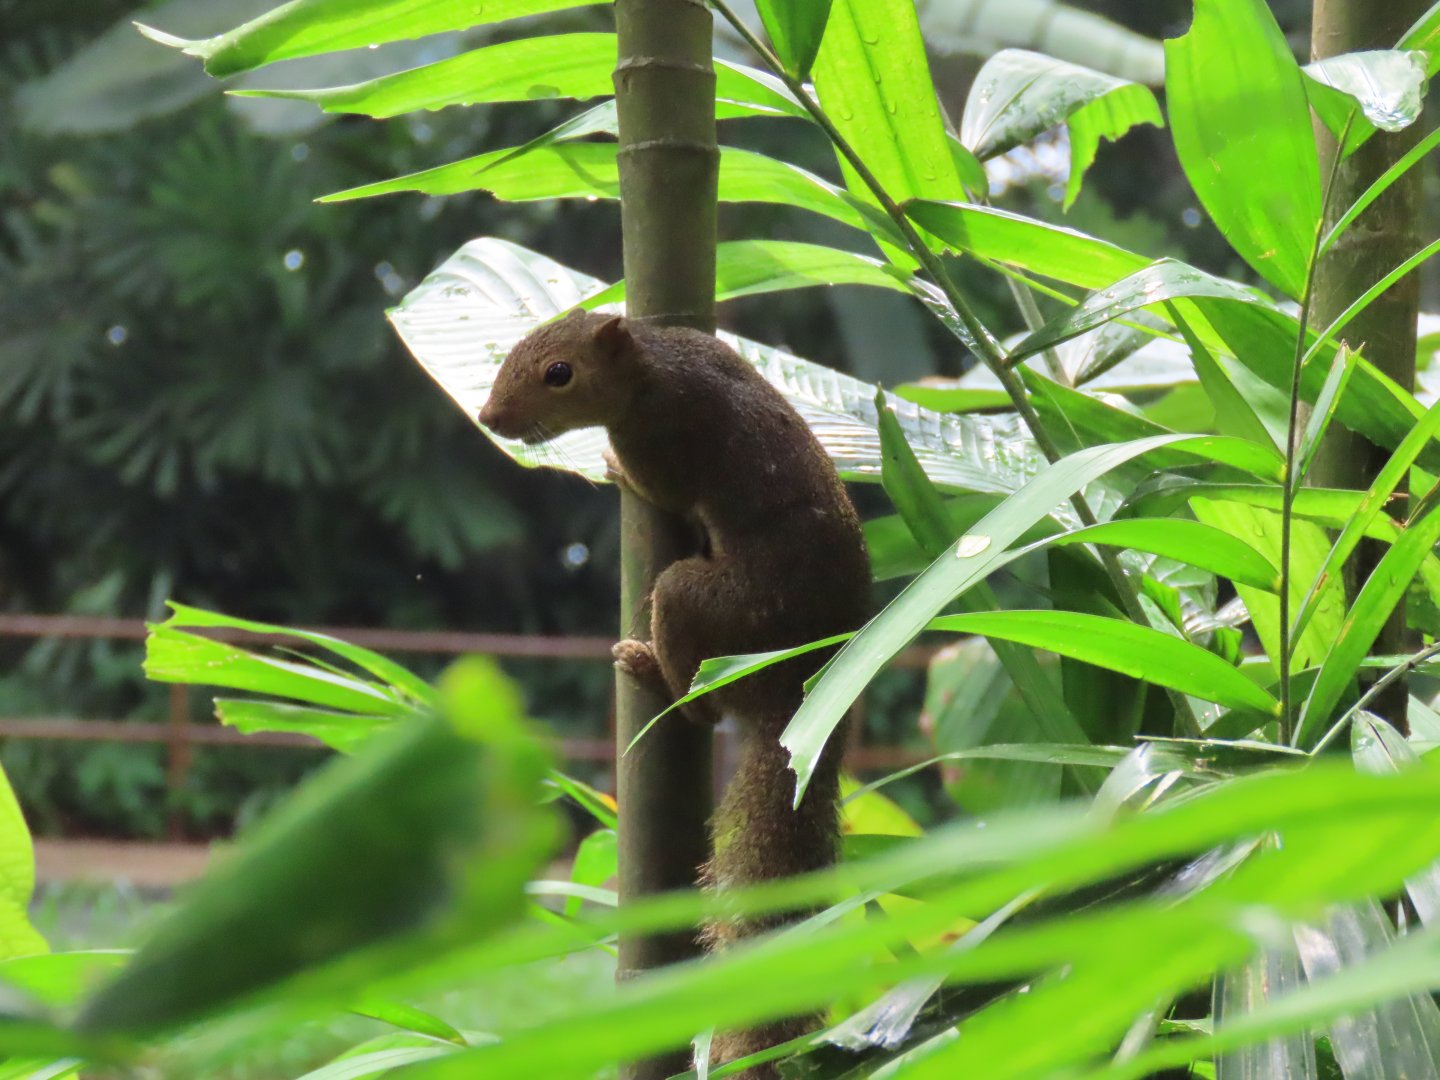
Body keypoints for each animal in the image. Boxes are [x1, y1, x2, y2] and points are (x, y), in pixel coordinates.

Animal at [479, 309, 871, 1075]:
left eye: (559, 373)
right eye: (509, 350)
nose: (490, 417)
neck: (653, 366)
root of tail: (805, 690)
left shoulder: (660, 435)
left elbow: (653, 487)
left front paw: (609, 469)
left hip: (698, 599)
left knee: (704, 705)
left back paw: (649, 671)